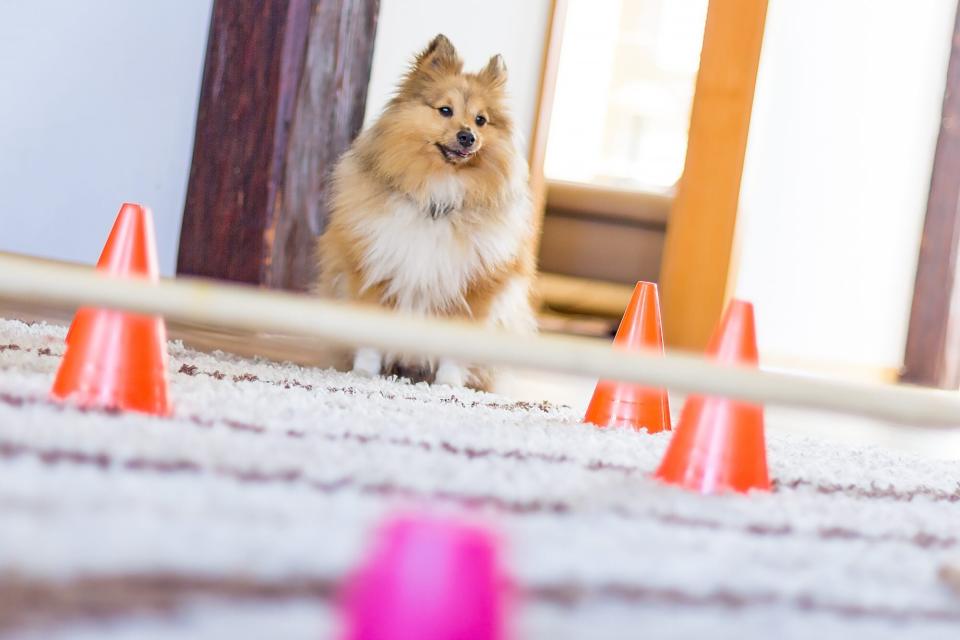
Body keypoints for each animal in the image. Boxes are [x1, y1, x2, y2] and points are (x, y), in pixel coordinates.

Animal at [316, 35, 536, 392]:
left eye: (481, 120)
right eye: (445, 111)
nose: (467, 136)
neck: (439, 194)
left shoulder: (474, 289)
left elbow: (456, 348)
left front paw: (449, 384)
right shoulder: (373, 272)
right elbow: (369, 335)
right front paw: (364, 373)